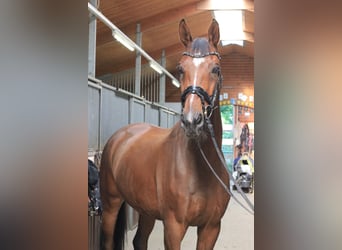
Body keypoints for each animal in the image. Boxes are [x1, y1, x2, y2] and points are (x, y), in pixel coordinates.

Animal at [100, 18, 231, 249]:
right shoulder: (173, 227)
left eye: (215, 69)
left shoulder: (211, 228)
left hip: (145, 209)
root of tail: (119, 136)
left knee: (139, 240)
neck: (202, 166)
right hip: (110, 206)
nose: (192, 121)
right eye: (180, 69)